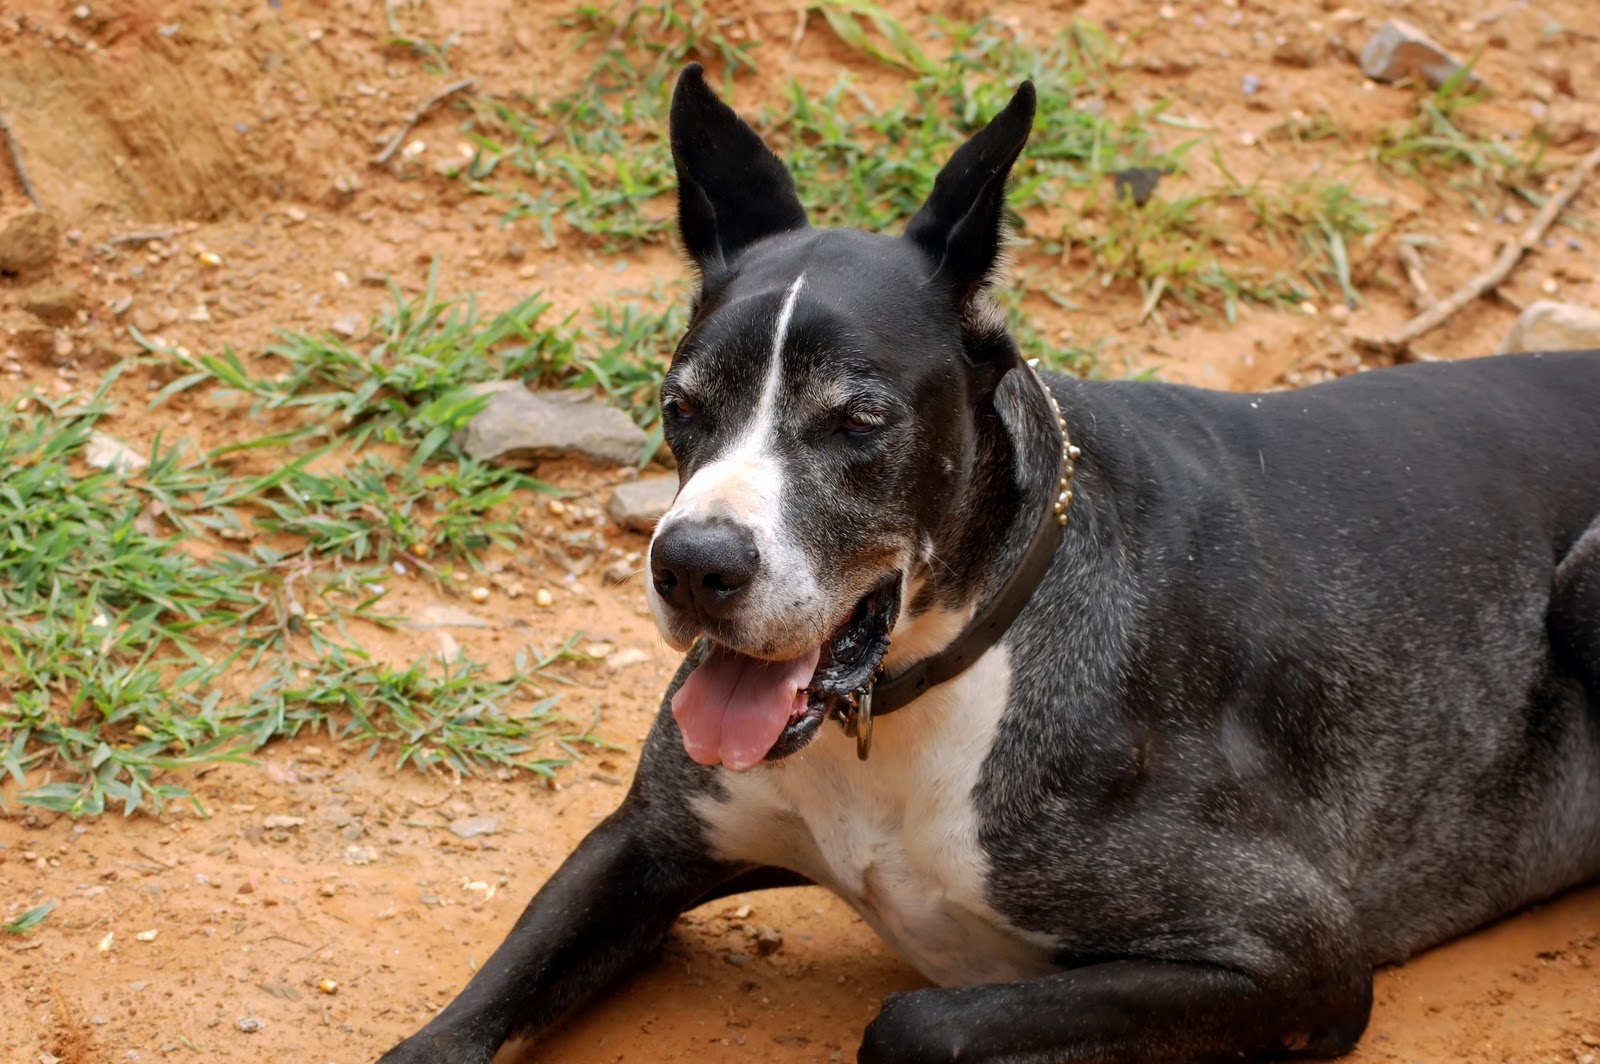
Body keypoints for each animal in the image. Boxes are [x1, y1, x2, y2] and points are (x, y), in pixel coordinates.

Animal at [384, 68, 1600, 1062]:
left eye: (859, 420)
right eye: (681, 407)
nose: (690, 565)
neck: (926, 685)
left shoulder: (1289, 950)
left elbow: (918, 1026)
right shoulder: (642, 842)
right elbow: (442, 1033)